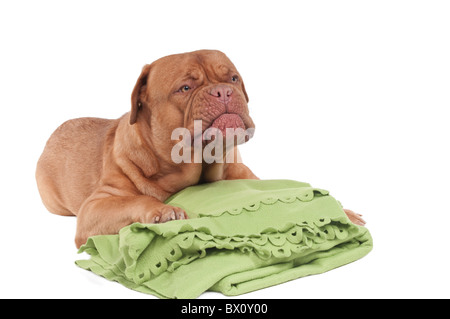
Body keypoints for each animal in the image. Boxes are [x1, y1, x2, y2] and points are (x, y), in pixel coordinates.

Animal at [36, 50, 366, 250]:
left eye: (233, 78)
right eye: (185, 88)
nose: (224, 91)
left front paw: (344, 211)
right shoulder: (96, 207)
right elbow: (136, 200)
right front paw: (163, 211)